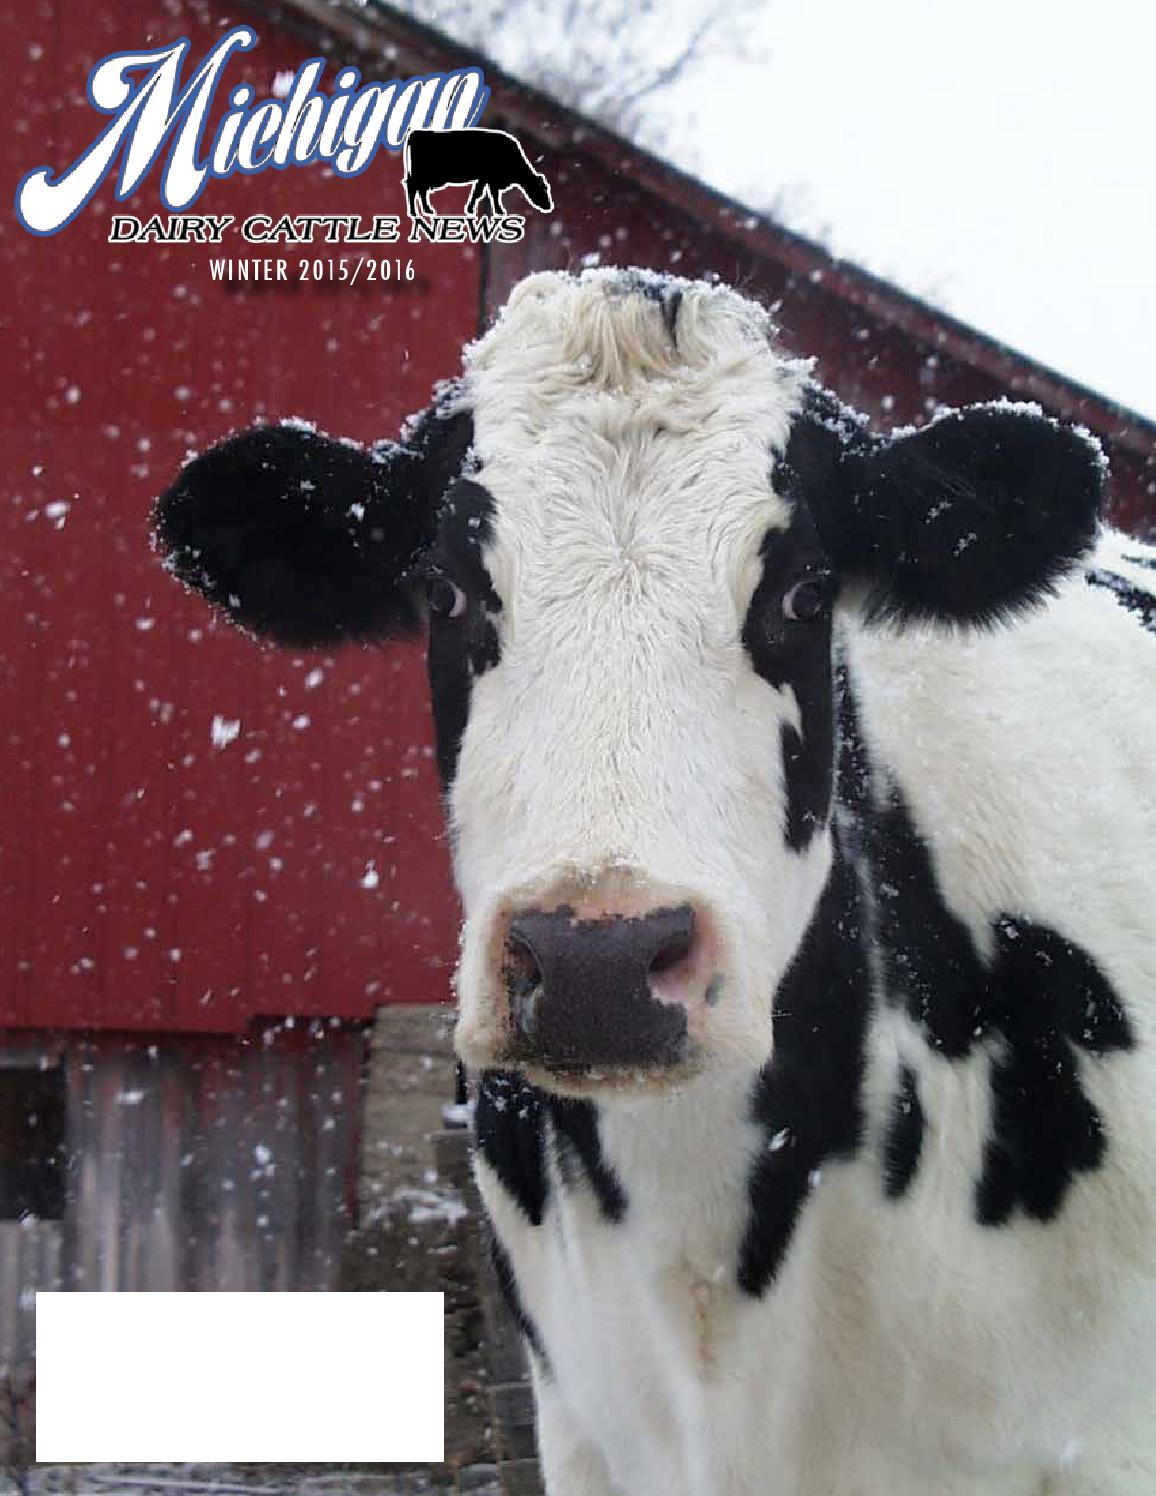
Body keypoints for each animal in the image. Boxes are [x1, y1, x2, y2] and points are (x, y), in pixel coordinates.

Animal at [403, 127, 553, 218]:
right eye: (542, 189)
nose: (549, 206)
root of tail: (417, 133)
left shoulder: (484, 180)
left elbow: (479, 193)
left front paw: (470, 209)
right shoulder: (491, 180)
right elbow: (489, 195)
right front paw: (499, 211)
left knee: (420, 191)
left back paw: (427, 210)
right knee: (413, 189)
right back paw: (414, 212)